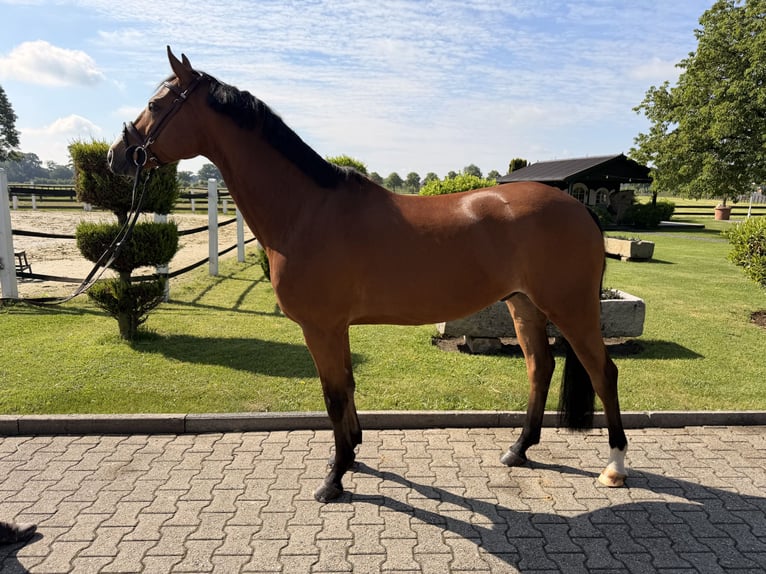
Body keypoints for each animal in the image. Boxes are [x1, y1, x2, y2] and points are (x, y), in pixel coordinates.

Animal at [108, 47, 628, 502]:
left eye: (155, 105)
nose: (117, 156)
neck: (307, 210)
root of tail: (580, 207)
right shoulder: (336, 327)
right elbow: (348, 389)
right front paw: (351, 455)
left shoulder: (320, 327)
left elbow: (334, 396)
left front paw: (333, 480)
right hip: (523, 305)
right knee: (540, 367)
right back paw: (518, 450)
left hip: (571, 307)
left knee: (604, 371)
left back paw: (615, 466)